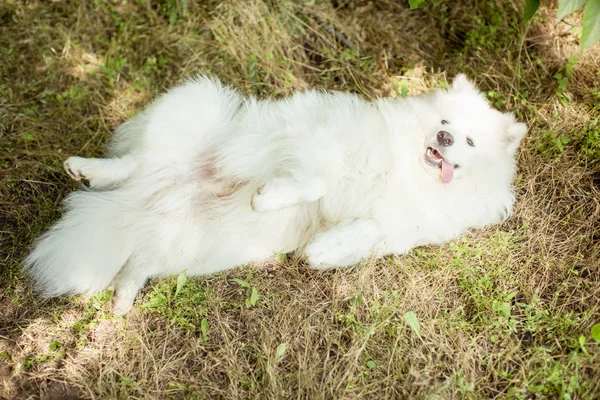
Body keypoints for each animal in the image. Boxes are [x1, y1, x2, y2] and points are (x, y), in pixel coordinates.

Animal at [25, 74, 528, 312]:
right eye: (444, 122)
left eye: (469, 142)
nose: (443, 139)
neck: (405, 165)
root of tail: (163, 188)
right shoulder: (320, 149)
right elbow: (313, 182)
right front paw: (267, 198)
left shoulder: (392, 226)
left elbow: (363, 227)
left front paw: (323, 251)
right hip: (194, 112)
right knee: (132, 163)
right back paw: (88, 170)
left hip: (196, 243)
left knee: (140, 261)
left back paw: (123, 299)